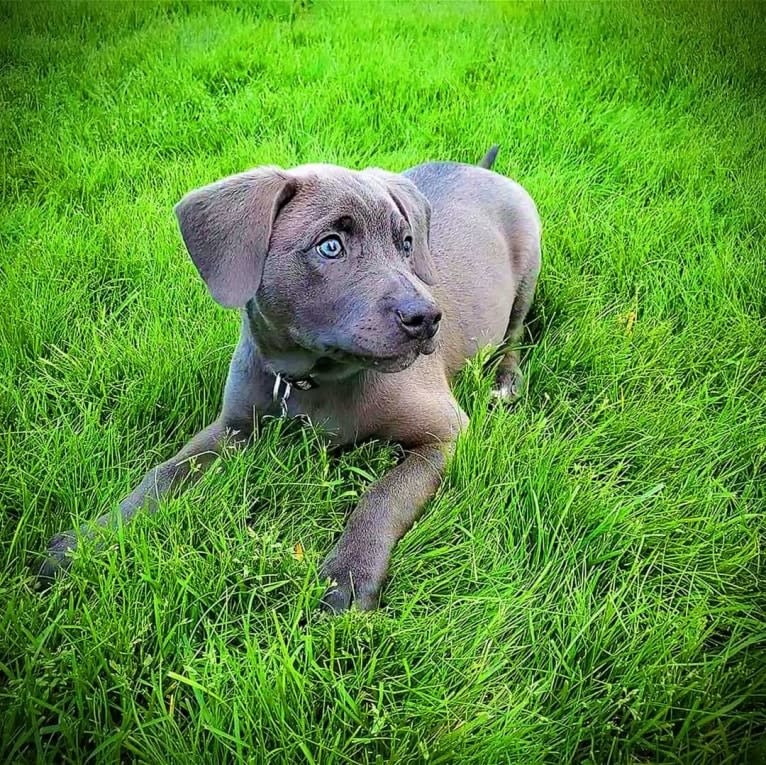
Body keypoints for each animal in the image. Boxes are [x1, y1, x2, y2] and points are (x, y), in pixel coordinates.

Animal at [39, 148, 544, 616]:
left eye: (406, 244)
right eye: (330, 246)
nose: (426, 318)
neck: (312, 381)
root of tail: (479, 168)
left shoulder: (447, 433)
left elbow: (382, 497)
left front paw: (348, 575)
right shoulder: (234, 426)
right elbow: (165, 473)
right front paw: (88, 540)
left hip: (528, 268)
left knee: (516, 333)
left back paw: (506, 380)